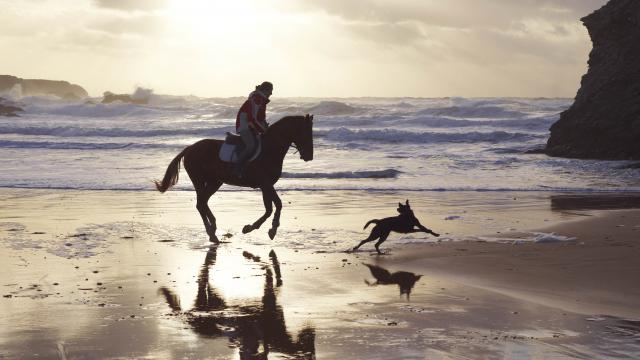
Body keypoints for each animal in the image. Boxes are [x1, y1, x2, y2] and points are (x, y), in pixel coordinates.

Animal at [156, 113, 316, 242]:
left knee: (203, 202)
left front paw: (251, 228)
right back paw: (211, 233)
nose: (309, 156)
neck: (270, 149)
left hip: (215, 182)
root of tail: (190, 148)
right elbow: (278, 204)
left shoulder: (266, 185)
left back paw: (213, 228)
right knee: (200, 204)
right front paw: (272, 229)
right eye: (306, 133)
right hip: (199, 180)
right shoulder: (265, 184)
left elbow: (269, 209)